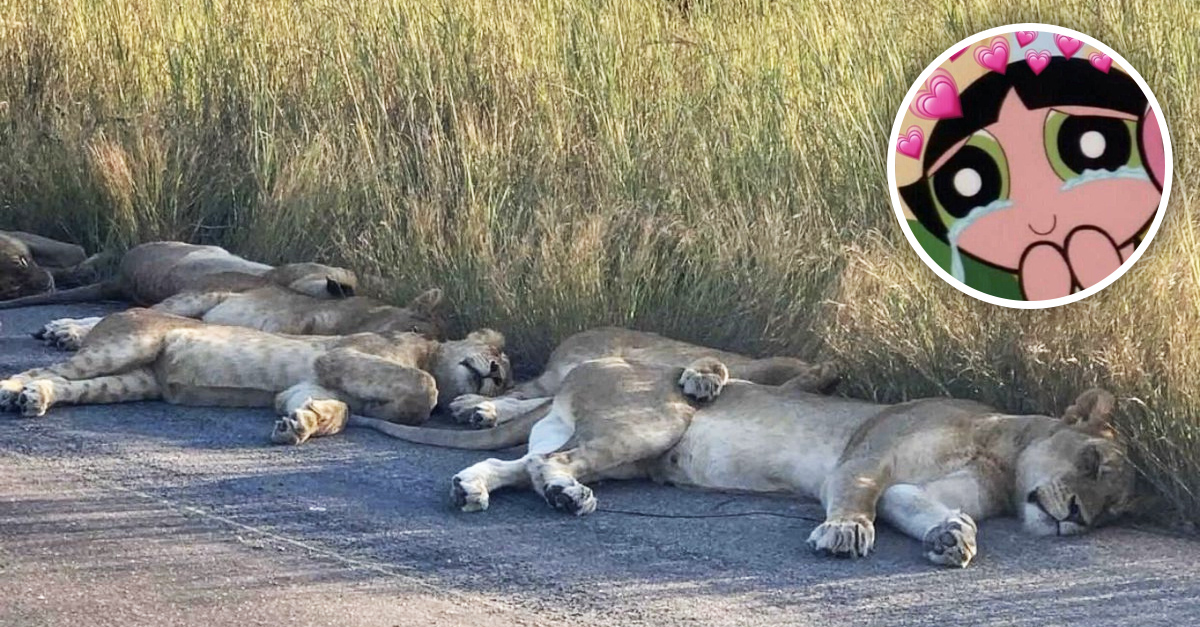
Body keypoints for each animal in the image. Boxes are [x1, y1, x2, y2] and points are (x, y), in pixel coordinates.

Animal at [0, 305, 511, 442]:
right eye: (496, 356)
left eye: (506, 379)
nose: (493, 374)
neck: (429, 351)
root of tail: (121, 310)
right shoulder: (339, 356)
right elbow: (426, 389)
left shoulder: (304, 385)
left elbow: (338, 412)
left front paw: (299, 426)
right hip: (129, 343)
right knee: (43, 366)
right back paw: (12, 391)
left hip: (131, 381)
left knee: (67, 384)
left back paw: (35, 399)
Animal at [417, 355, 1137, 566]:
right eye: (1092, 459)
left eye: (1113, 509)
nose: (1077, 517)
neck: (1001, 456)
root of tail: (583, 368)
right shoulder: (866, 457)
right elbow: (857, 496)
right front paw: (844, 533)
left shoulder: (910, 487)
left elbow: (920, 508)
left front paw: (951, 536)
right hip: (654, 421)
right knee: (552, 464)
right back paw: (566, 496)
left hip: (620, 451)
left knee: (521, 465)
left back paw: (470, 488)